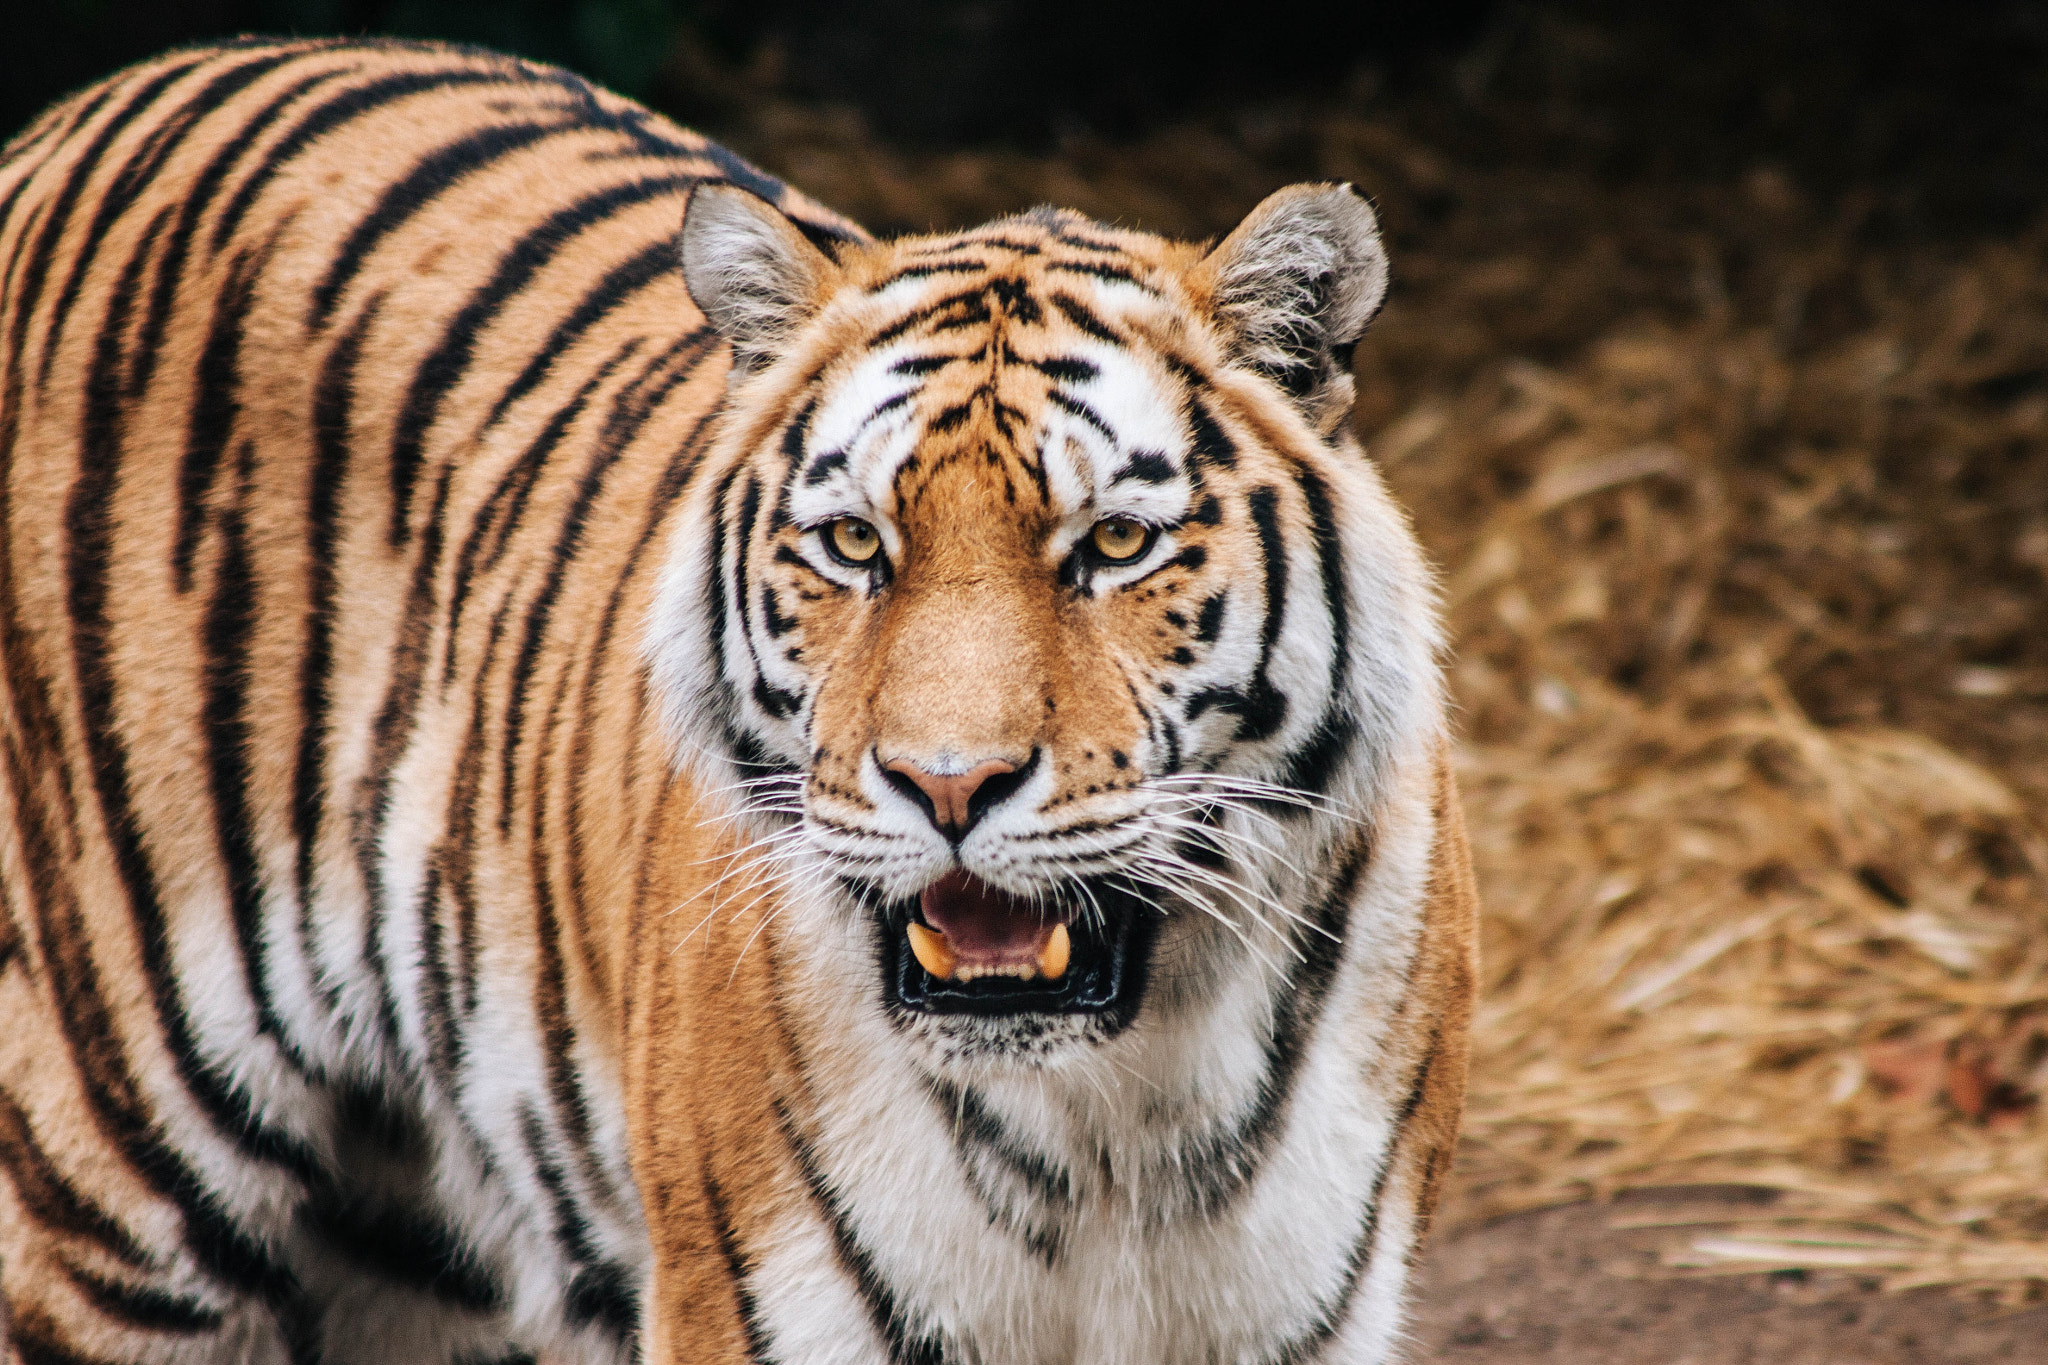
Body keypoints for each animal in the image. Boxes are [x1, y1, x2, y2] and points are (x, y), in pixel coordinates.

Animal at [0, 34, 1474, 1365]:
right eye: (855, 545)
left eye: (1113, 545)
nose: (947, 785)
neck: (1111, 1123)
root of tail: (78, 112)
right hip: (100, 1187)